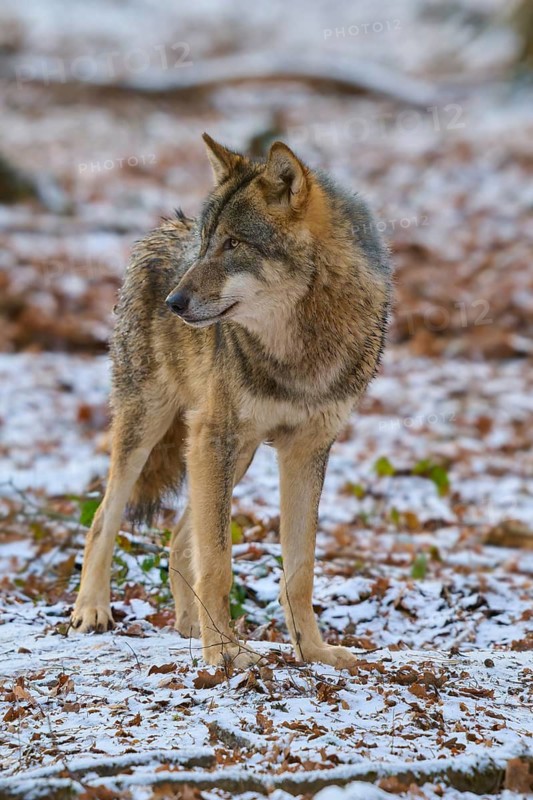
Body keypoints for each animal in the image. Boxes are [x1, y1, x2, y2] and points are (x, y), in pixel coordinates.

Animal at [71, 134, 392, 669]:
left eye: (233, 244)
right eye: (206, 243)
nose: (173, 304)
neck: (301, 349)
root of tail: (161, 229)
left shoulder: (307, 450)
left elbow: (300, 570)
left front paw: (314, 652)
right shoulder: (214, 436)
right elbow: (220, 563)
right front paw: (224, 655)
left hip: (232, 454)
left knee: (179, 539)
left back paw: (187, 627)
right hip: (155, 427)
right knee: (104, 516)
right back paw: (92, 610)